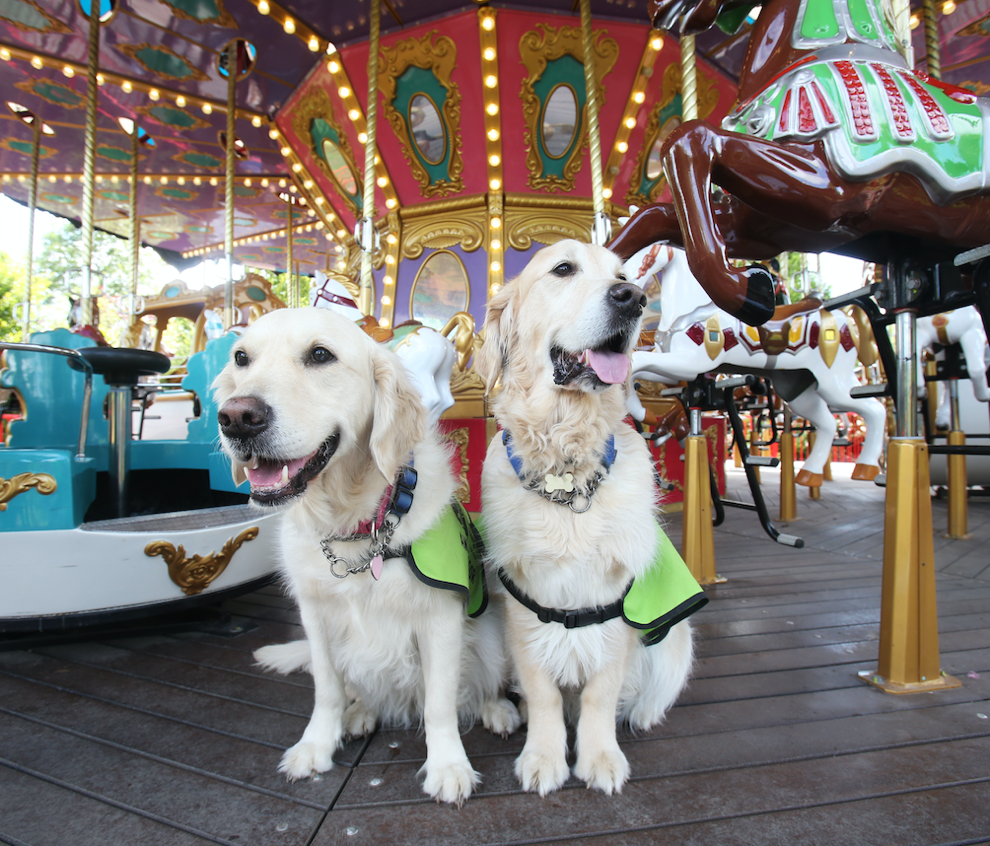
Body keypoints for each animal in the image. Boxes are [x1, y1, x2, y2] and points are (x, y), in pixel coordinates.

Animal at [214, 308, 524, 804]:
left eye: (321, 354)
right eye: (241, 358)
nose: (237, 417)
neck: (356, 528)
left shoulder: (440, 619)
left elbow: (440, 703)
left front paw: (448, 766)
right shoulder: (317, 617)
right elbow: (326, 690)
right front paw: (316, 746)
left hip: (492, 633)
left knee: (480, 685)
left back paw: (496, 711)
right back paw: (360, 714)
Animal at [478, 242, 704, 800]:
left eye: (624, 274)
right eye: (563, 269)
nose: (634, 297)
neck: (567, 473)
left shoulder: (619, 604)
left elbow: (601, 694)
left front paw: (599, 757)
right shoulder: (523, 600)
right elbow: (541, 694)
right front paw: (543, 756)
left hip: (679, 637)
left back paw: (641, 714)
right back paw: (499, 712)